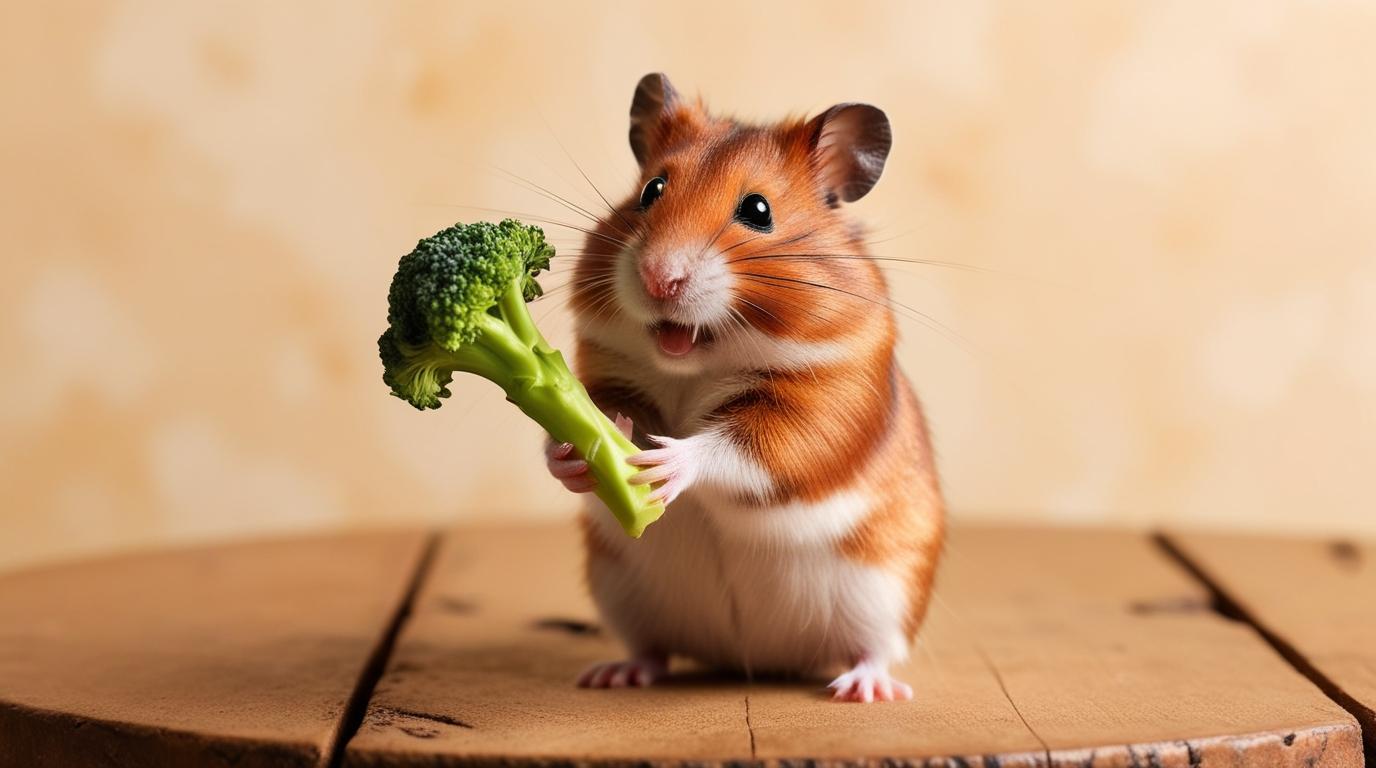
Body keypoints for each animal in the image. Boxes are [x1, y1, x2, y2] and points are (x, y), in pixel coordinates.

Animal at [544, 72, 946, 704]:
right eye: (651, 190)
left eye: (758, 210)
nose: (659, 278)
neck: (697, 364)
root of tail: (754, 660)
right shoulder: (605, 375)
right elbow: (581, 420)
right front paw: (581, 452)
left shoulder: (817, 417)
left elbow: (734, 448)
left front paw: (664, 463)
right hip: (620, 589)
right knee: (652, 650)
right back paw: (614, 673)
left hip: (887, 591)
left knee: (876, 649)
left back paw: (863, 689)